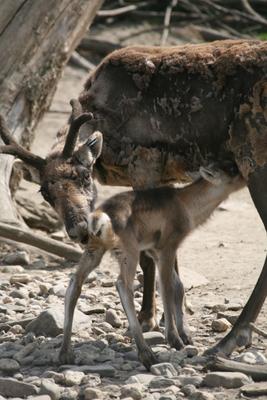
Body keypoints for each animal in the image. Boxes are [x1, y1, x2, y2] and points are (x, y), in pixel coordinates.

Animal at [59, 165, 245, 368]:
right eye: (232, 170)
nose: (245, 175)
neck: (187, 206)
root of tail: (101, 217)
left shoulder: (153, 250)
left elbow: (178, 286)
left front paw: (186, 335)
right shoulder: (167, 247)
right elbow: (166, 288)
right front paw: (175, 339)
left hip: (94, 249)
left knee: (74, 282)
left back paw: (65, 353)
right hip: (128, 251)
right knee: (123, 285)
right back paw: (146, 354)